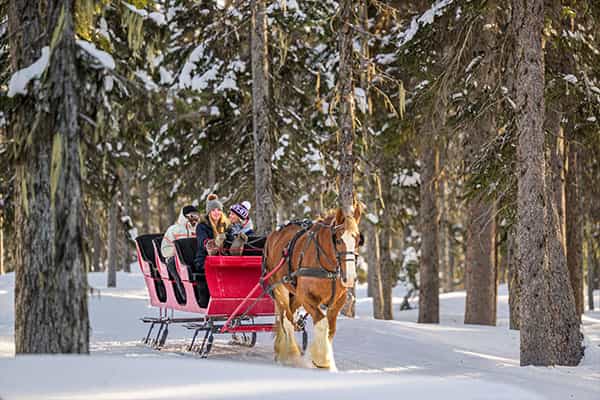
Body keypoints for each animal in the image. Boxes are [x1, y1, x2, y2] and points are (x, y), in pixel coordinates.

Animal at [266, 205, 360, 370]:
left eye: (358, 239)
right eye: (338, 240)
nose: (349, 278)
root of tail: (273, 235)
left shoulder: (337, 302)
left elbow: (331, 329)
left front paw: (329, 362)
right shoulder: (307, 297)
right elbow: (322, 322)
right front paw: (322, 360)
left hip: (295, 294)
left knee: (287, 316)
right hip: (279, 287)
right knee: (286, 319)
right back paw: (292, 353)